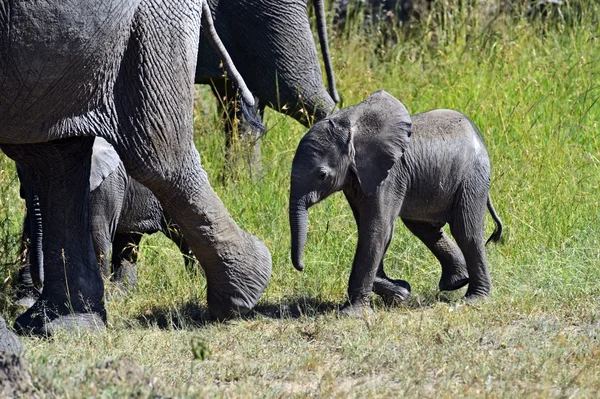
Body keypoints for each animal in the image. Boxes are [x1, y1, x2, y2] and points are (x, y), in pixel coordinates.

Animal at [0, 1, 272, 336]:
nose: (26, 291)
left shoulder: (108, 188)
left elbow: (100, 236)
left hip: (148, 28)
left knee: (157, 154)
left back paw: (237, 297)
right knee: (55, 158)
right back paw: (63, 323)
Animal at [290, 90, 502, 316]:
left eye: (322, 175)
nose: (303, 267)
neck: (350, 125)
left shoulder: (390, 174)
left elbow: (377, 229)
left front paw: (352, 314)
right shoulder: (357, 179)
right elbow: (370, 228)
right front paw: (399, 291)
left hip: (472, 177)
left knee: (465, 231)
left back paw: (475, 298)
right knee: (426, 229)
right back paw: (455, 283)